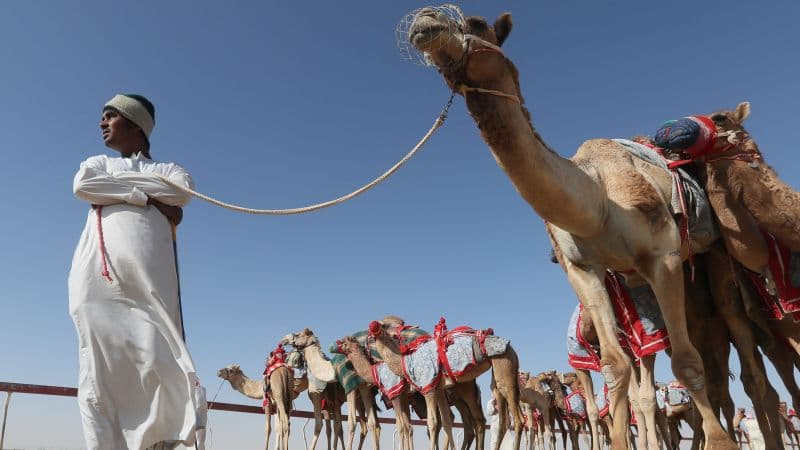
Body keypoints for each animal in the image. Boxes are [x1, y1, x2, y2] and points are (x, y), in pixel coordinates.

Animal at [368, 319, 522, 450]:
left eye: (384, 325)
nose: (373, 326)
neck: (406, 363)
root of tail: (511, 348)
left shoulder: (428, 388)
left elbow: (432, 422)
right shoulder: (439, 389)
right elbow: (447, 421)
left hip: (503, 364)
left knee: (517, 420)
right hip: (496, 373)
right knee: (500, 420)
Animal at [403, 8, 735, 450]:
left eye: (475, 23)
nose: (425, 19)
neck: (596, 199)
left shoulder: (662, 255)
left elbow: (686, 362)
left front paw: (721, 442)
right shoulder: (584, 269)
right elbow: (614, 366)